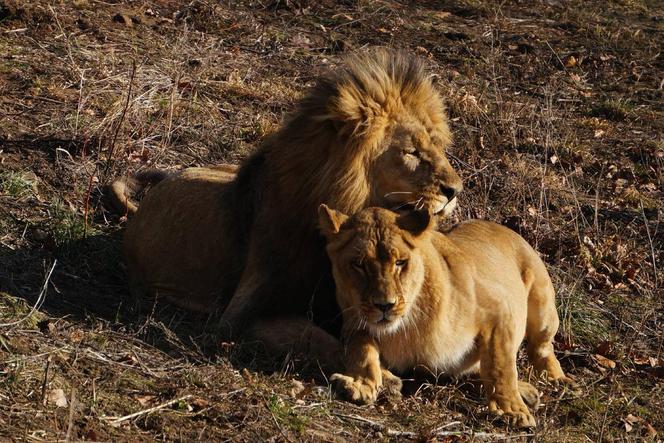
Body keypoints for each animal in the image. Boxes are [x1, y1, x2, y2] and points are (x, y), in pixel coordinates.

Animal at [320, 206, 572, 428]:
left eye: (400, 263)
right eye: (358, 265)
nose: (385, 305)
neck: (404, 328)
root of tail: (504, 227)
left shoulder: (500, 311)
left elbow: (500, 366)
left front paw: (511, 410)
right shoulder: (353, 322)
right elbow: (361, 348)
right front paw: (361, 383)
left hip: (543, 307)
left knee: (540, 348)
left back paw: (554, 380)